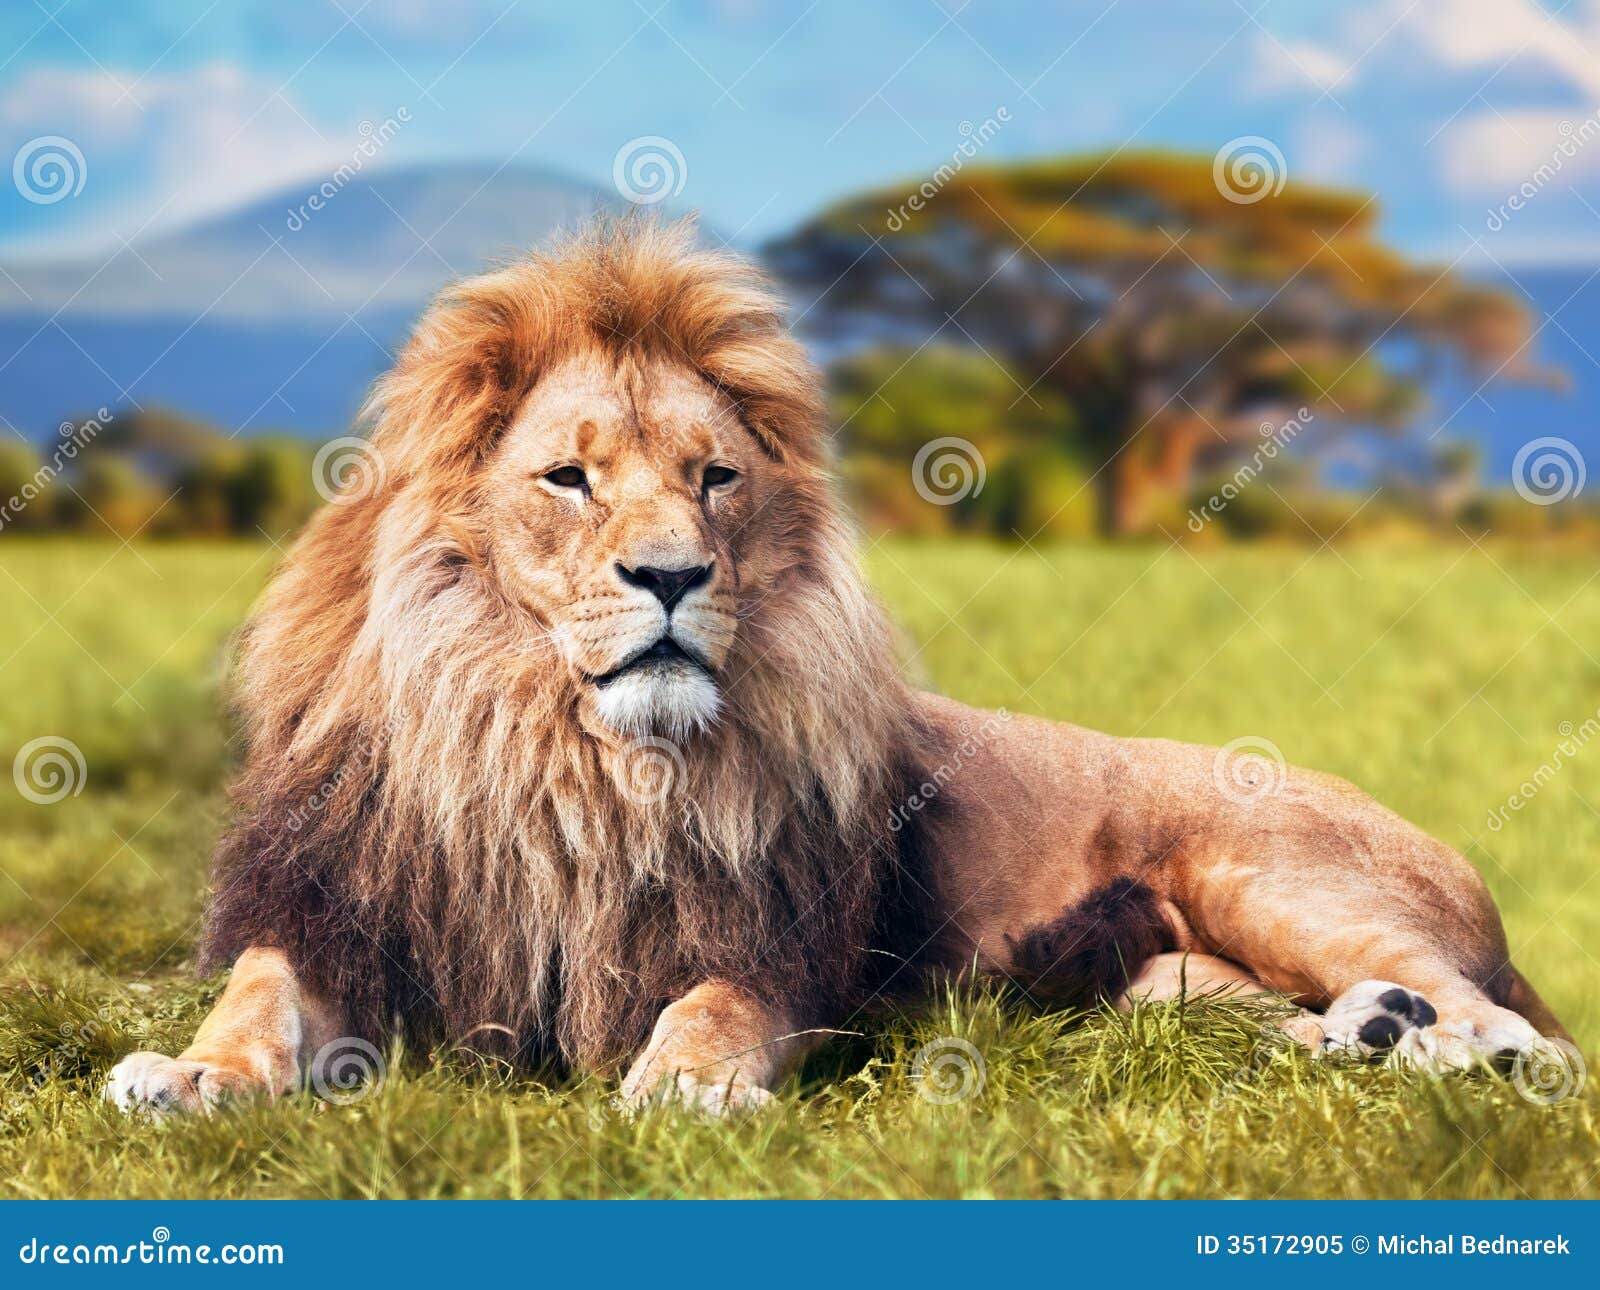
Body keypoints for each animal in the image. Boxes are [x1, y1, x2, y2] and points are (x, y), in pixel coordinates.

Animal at [106, 217, 1568, 1113]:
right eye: (569, 478)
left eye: (714, 479)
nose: (673, 577)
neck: (565, 756)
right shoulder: (343, 914)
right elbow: (255, 995)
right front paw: (187, 1074)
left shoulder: (773, 945)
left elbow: (712, 1006)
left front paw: (685, 1083)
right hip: (1162, 981)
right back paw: (1367, 1035)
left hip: (1265, 870)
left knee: (1515, 1026)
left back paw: (1449, 1049)